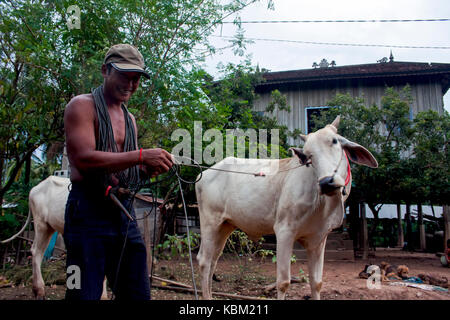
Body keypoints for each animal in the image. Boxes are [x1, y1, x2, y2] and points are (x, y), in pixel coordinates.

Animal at [195, 117, 378, 300]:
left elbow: (316, 282)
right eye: (308, 155)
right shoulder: (284, 231)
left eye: (334, 141)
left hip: (225, 226)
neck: (324, 203)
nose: (327, 182)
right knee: (204, 260)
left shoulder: (319, 239)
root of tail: (203, 174)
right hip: (210, 222)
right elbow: (283, 282)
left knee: (213, 259)